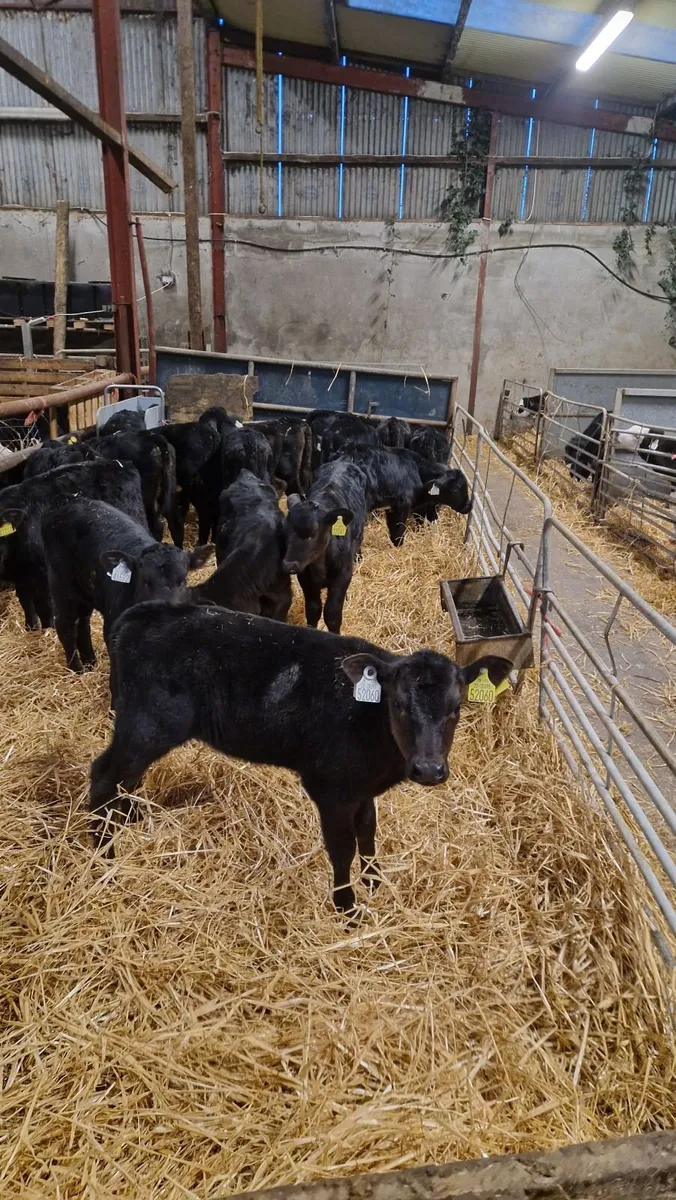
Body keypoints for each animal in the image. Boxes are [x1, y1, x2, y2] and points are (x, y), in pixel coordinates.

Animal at [0, 460, 147, 631]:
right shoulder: (21, 576)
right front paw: (31, 627)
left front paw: (48, 629)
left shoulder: (42, 573)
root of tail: (119, 463)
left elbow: (45, 606)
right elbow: (26, 601)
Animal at [41, 498, 211, 672]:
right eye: (145, 581)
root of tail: (68, 500)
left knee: (83, 623)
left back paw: (90, 663)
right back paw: (76, 669)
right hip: (62, 586)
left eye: (183, 580)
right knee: (66, 625)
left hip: (85, 590)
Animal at [89, 600, 512, 911]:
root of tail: (139, 613)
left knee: (126, 779)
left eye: (456, 708)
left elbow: (368, 833)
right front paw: (347, 907)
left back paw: (128, 821)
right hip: (147, 724)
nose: (428, 769)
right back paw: (104, 853)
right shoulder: (330, 788)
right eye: (399, 705)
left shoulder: (362, 788)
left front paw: (375, 883)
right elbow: (342, 848)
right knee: (104, 775)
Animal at [282, 458, 368, 634]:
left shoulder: (342, 575)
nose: (288, 565)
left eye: (313, 532)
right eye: (285, 530)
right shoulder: (305, 578)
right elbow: (313, 609)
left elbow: (332, 614)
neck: (319, 564)